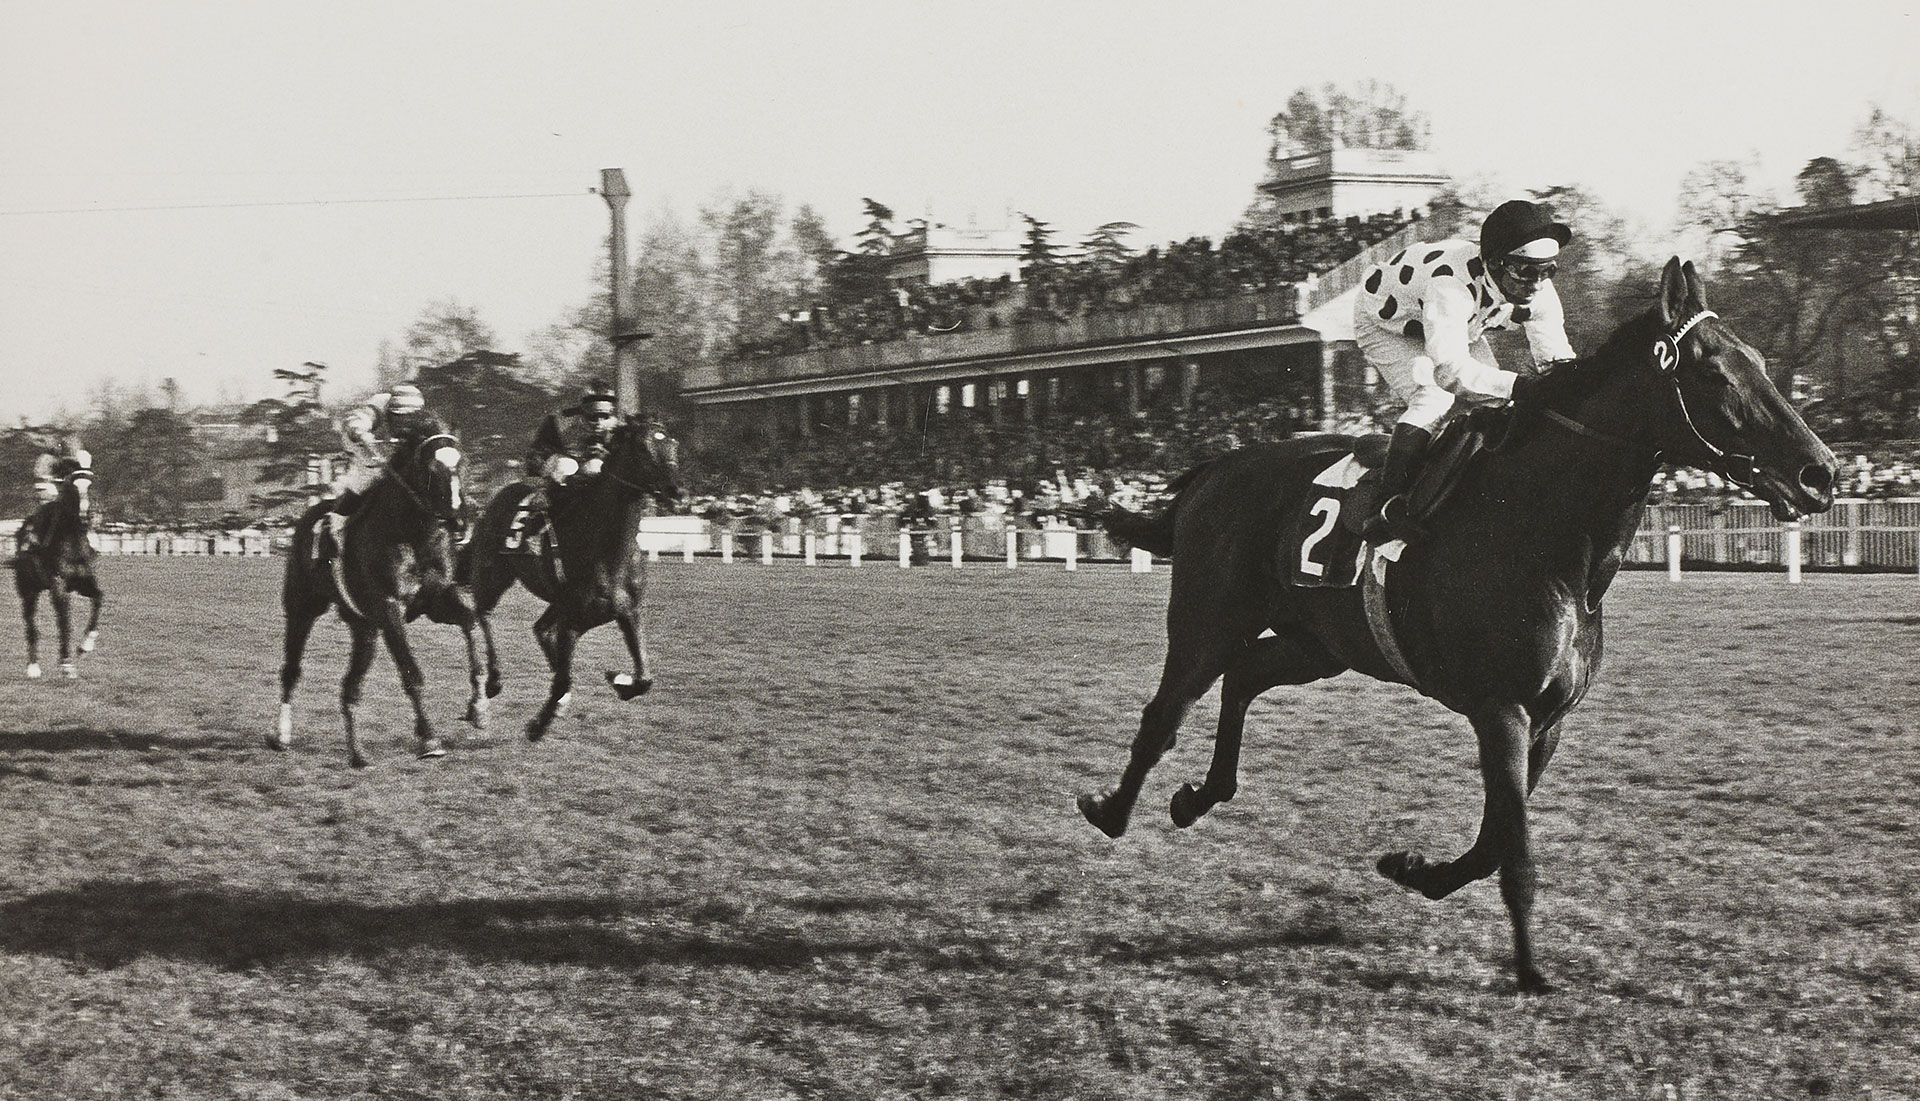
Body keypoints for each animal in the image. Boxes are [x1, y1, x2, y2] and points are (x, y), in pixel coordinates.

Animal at [9, 455, 105, 680]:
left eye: (91, 484)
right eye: (72, 487)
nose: (86, 517)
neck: (74, 544)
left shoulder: (83, 582)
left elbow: (98, 599)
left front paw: (85, 646)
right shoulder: (58, 584)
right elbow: (64, 621)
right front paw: (66, 664)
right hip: (28, 590)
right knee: (31, 625)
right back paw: (33, 667)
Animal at [272, 424, 495, 768]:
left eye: (464, 464)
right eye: (431, 469)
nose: (459, 522)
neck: (413, 535)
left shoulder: (435, 602)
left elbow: (470, 622)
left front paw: (479, 707)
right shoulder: (390, 610)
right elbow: (412, 672)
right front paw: (429, 738)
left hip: (364, 628)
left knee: (350, 688)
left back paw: (357, 754)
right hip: (302, 610)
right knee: (291, 670)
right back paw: (282, 735)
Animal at [458, 418, 683, 737]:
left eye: (673, 443)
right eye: (643, 447)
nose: (677, 493)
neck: (606, 546)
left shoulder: (627, 612)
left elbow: (644, 678)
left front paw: (619, 680)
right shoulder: (573, 622)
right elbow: (563, 677)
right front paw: (538, 724)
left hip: (554, 600)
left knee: (540, 629)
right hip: (494, 574)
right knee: (481, 615)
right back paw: (488, 689)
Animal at [1075, 261, 1835, 991]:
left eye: (1760, 360)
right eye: (1713, 371)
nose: (1820, 472)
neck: (1542, 531)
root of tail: (1214, 467)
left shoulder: (1548, 718)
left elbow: (1497, 837)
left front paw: (1417, 869)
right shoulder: (1502, 708)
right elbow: (1515, 848)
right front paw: (1529, 971)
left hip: (1318, 642)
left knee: (1243, 676)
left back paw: (1199, 796)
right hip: (1206, 620)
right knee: (1165, 713)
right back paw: (1110, 811)